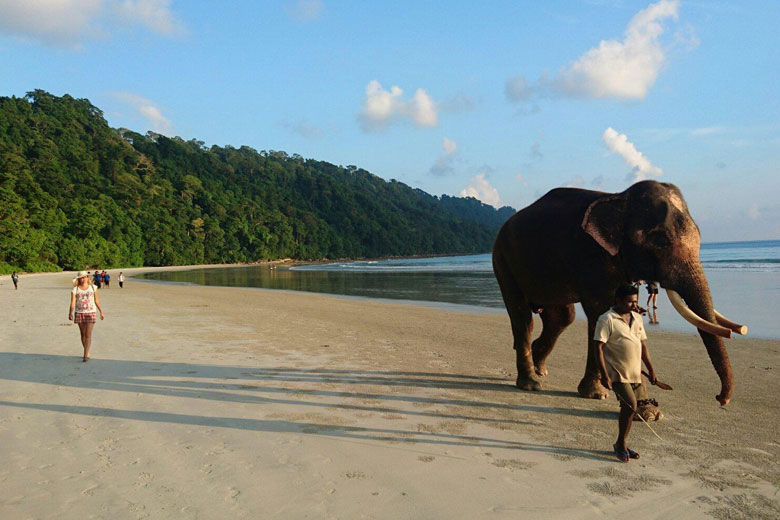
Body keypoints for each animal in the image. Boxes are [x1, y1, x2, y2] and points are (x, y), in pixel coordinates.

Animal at [494, 181, 744, 416]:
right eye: (660, 240)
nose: (720, 399)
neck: (618, 198)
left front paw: (632, 405)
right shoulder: (590, 257)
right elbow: (600, 312)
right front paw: (602, 395)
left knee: (562, 317)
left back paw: (540, 369)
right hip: (503, 261)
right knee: (523, 317)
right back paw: (530, 382)